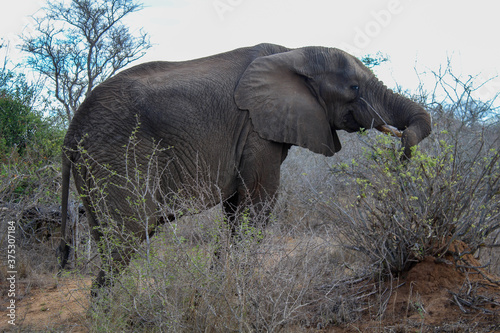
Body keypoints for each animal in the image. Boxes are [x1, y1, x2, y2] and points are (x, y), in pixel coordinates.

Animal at [58, 42, 432, 294]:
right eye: (354, 88)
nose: (401, 163)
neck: (293, 53)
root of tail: (70, 133)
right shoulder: (255, 129)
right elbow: (258, 204)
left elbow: (234, 209)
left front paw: (216, 285)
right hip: (115, 156)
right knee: (128, 236)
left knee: (110, 239)